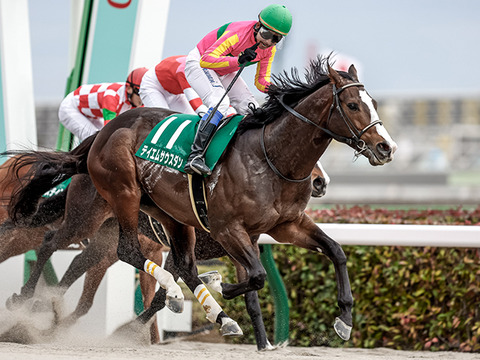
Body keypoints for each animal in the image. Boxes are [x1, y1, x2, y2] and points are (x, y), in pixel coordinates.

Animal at [5, 57, 398, 342]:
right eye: (352, 105)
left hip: (166, 216)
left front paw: (343, 320)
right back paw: (24, 299)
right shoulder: (228, 230)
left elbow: (336, 251)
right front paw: (221, 287)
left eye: (375, 103)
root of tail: (104, 133)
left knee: (141, 263)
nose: (386, 147)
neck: (270, 157)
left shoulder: (286, 225)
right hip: (112, 201)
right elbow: (255, 277)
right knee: (71, 243)